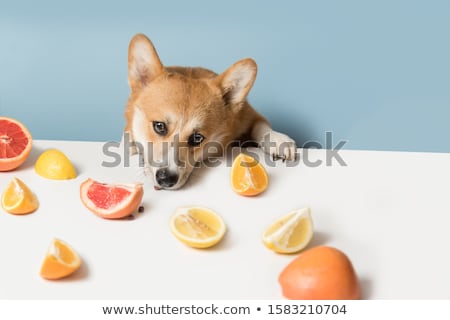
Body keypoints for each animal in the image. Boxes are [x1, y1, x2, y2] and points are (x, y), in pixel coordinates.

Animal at [125, 34, 298, 190]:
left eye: (197, 138)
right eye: (159, 126)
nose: (166, 179)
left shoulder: (249, 115)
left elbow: (261, 126)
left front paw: (278, 140)